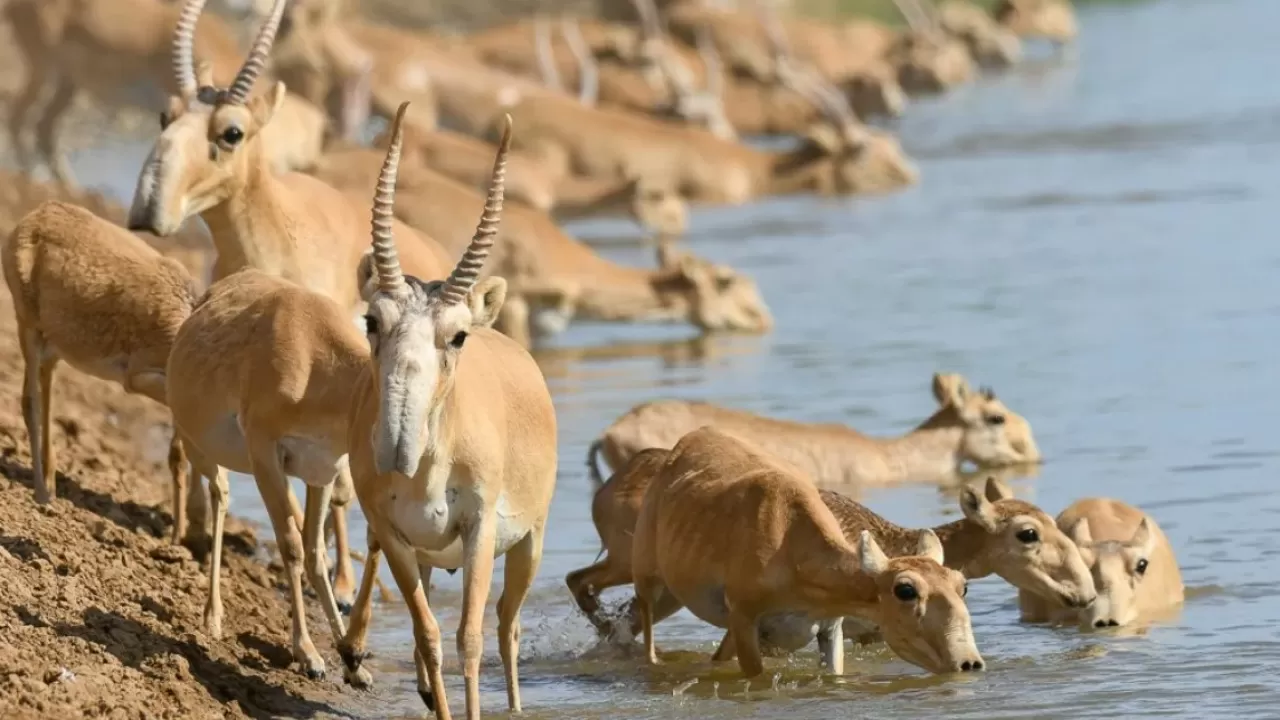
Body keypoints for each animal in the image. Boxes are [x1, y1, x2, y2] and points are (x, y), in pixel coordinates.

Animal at [1, 198, 198, 540]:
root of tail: (37, 214)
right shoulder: (139, 378)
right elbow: (181, 450)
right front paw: (177, 537)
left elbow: (179, 451)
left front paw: (177, 537)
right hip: (28, 325)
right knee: (30, 401)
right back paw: (42, 494)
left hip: (54, 342)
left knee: (45, 387)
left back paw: (50, 484)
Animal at [335, 114, 560, 717]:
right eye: (371, 321)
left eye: (456, 335)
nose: (395, 447)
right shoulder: (393, 534)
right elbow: (429, 635)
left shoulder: (479, 530)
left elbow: (470, 638)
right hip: (427, 553)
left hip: (530, 543)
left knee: (507, 626)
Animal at [627, 425, 977, 676]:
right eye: (905, 589)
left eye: (962, 586)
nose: (969, 663)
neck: (790, 550)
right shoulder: (743, 621)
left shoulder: (830, 628)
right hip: (646, 575)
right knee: (646, 628)